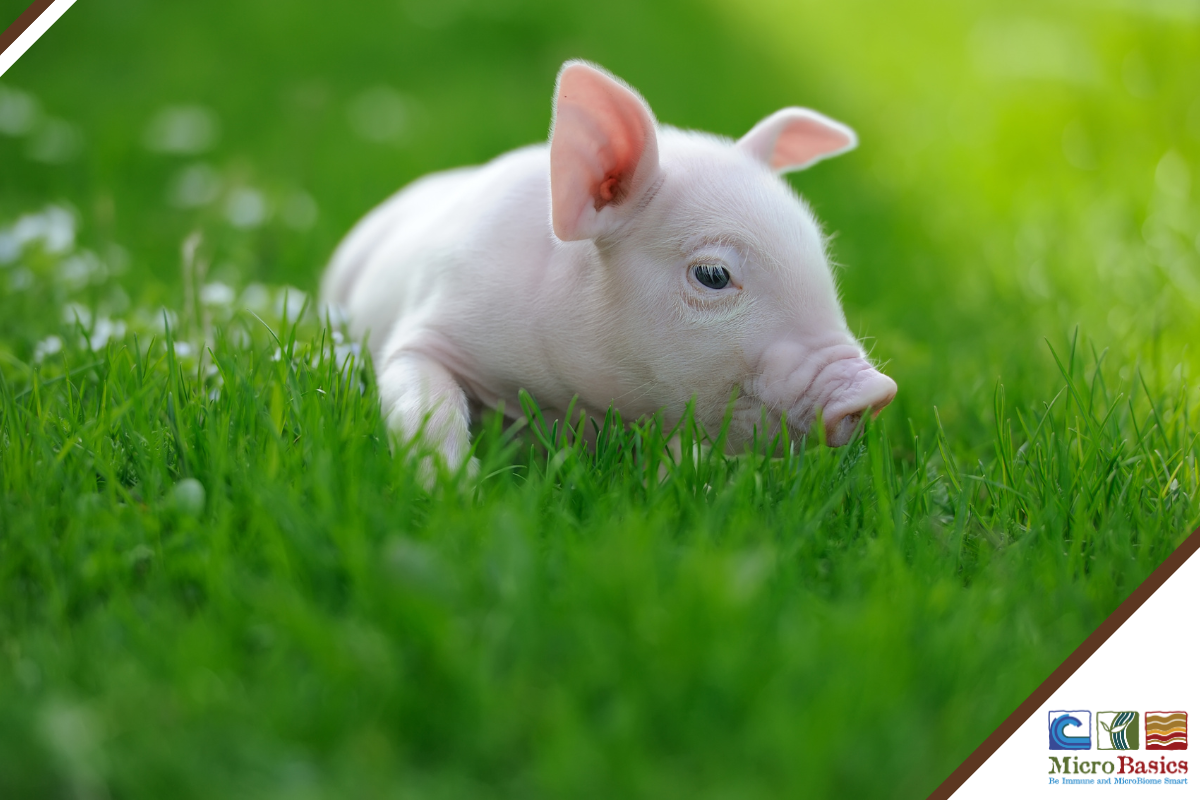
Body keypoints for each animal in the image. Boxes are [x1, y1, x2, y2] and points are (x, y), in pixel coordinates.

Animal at [321, 60, 897, 474]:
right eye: (712, 275)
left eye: (820, 255)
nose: (876, 392)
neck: (564, 400)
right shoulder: (429, 324)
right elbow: (425, 407)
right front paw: (458, 493)